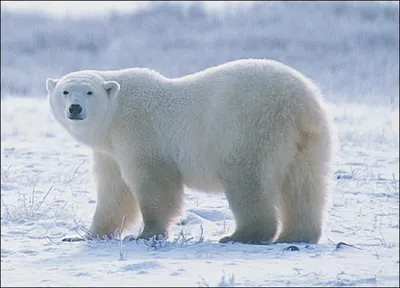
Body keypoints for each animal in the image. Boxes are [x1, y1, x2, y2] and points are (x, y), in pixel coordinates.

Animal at [46, 59, 334, 244]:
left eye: (89, 92)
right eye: (65, 91)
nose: (74, 108)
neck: (116, 113)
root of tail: (298, 103)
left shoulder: (139, 133)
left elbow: (153, 183)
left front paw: (147, 233)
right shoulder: (110, 152)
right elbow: (114, 192)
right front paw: (86, 234)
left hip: (250, 128)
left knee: (248, 180)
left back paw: (241, 236)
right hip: (310, 140)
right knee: (304, 185)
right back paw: (296, 234)